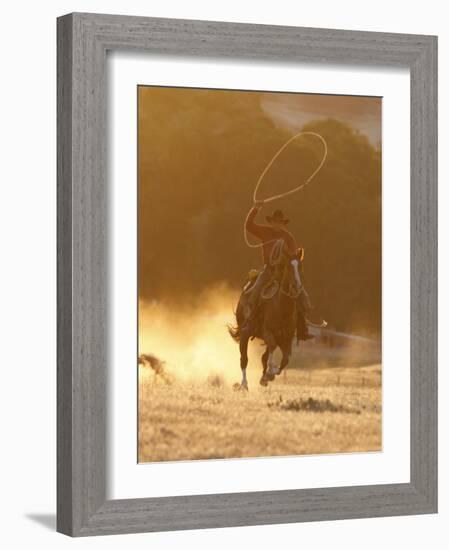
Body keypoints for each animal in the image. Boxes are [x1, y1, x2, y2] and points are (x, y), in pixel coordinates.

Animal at [228, 243, 300, 392]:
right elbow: (271, 348)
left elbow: (285, 359)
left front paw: (268, 376)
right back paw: (244, 384)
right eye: (289, 267)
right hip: (245, 334)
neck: (282, 307)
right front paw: (270, 372)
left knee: (263, 356)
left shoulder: (286, 338)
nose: (297, 287)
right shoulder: (268, 332)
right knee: (244, 359)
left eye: (300, 266)